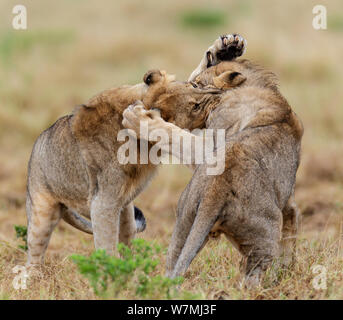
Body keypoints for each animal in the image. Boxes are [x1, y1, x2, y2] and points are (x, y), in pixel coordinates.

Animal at [26, 33, 247, 264]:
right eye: (195, 107)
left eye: (194, 86)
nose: (218, 95)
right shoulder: (102, 201)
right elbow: (105, 245)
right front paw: (110, 270)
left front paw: (227, 47)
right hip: (43, 210)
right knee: (34, 250)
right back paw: (32, 272)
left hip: (125, 212)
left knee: (127, 238)